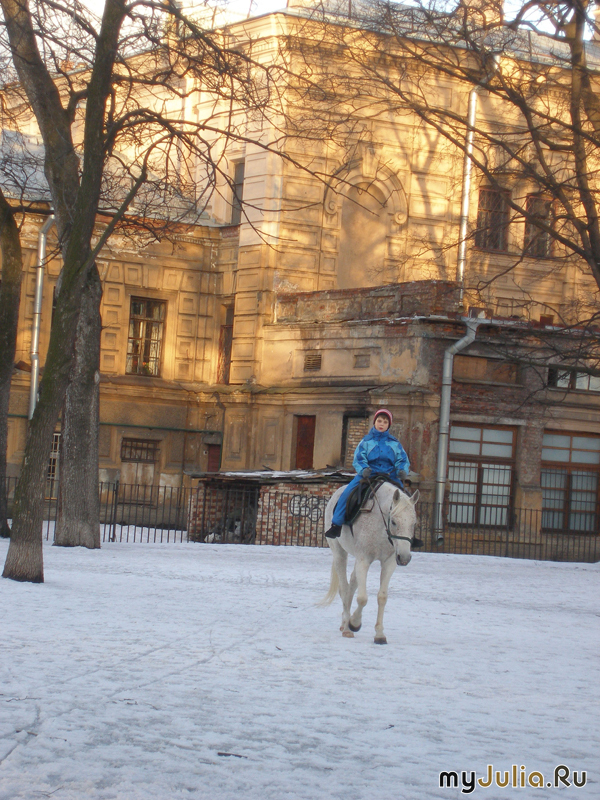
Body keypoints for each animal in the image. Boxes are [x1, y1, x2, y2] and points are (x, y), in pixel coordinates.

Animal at [320, 482, 420, 644]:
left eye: (414, 523)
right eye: (394, 522)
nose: (404, 557)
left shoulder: (389, 562)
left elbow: (382, 597)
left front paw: (379, 634)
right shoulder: (364, 560)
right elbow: (362, 598)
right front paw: (354, 623)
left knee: (351, 585)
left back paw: (344, 623)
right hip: (339, 553)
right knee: (344, 588)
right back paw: (347, 627)